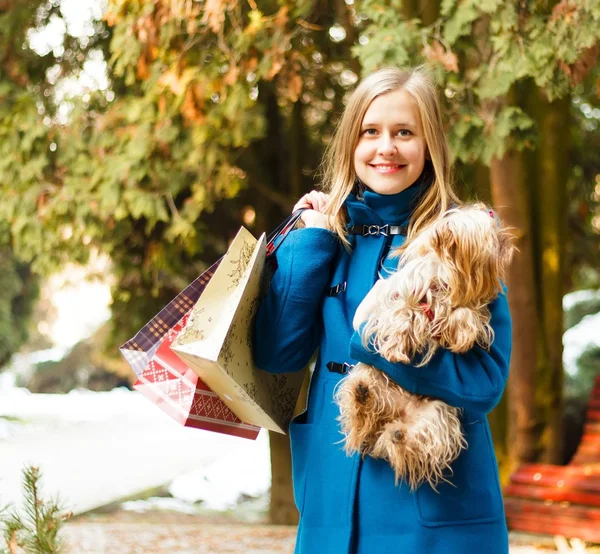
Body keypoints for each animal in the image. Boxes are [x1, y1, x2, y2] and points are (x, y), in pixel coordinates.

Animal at [336, 203, 512, 488]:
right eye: (492, 238)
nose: (509, 242)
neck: (446, 276)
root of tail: (397, 414)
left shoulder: (468, 304)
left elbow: (466, 314)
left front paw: (461, 334)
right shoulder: (402, 295)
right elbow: (402, 315)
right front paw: (396, 346)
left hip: (438, 411)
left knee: (417, 437)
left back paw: (397, 435)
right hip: (370, 373)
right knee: (364, 410)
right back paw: (362, 395)